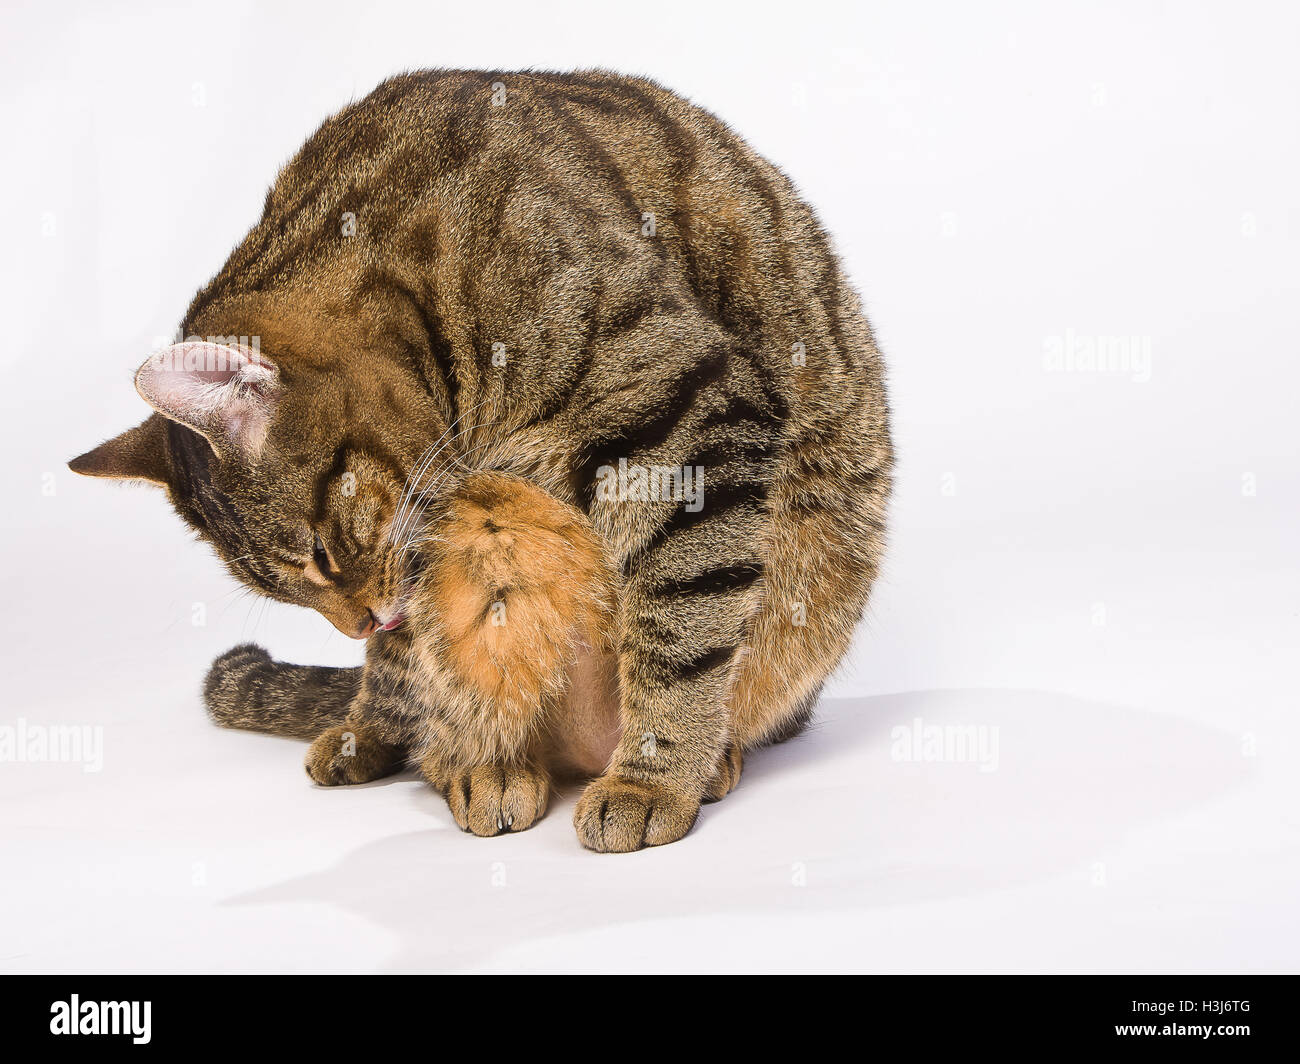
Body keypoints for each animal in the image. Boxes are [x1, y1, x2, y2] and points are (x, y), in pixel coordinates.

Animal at [65, 70, 889, 848]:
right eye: (289, 587)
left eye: (317, 556)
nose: (354, 627)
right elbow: (413, 666)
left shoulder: (692, 422)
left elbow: (680, 631)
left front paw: (653, 778)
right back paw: (459, 757)